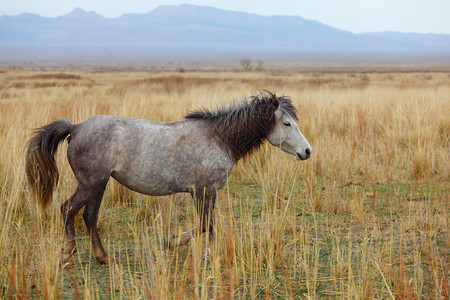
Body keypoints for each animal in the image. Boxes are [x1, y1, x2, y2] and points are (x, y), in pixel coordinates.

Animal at [25, 92, 312, 264]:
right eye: (286, 123)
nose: (307, 151)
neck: (220, 139)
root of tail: (76, 127)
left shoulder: (202, 193)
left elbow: (205, 226)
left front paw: (175, 243)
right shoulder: (205, 191)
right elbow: (206, 226)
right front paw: (180, 245)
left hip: (99, 185)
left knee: (89, 216)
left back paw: (104, 258)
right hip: (91, 184)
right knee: (68, 209)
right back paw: (67, 253)